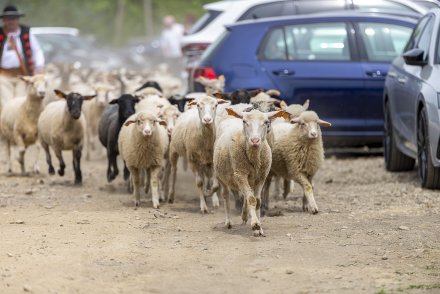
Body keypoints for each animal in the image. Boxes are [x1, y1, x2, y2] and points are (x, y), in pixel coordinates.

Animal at [214, 108, 286, 237]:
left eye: (266, 122)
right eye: (244, 121)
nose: (255, 140)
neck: (254, 157)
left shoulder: (261, 177)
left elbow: (257, 201)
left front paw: (260, 228)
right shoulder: (240, 175)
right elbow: (251, 199)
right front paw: (255, 225)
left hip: (250, 179)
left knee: (246, 196)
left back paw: (244, 216)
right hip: (221, 176)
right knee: (226, 195)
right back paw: (228, 222)